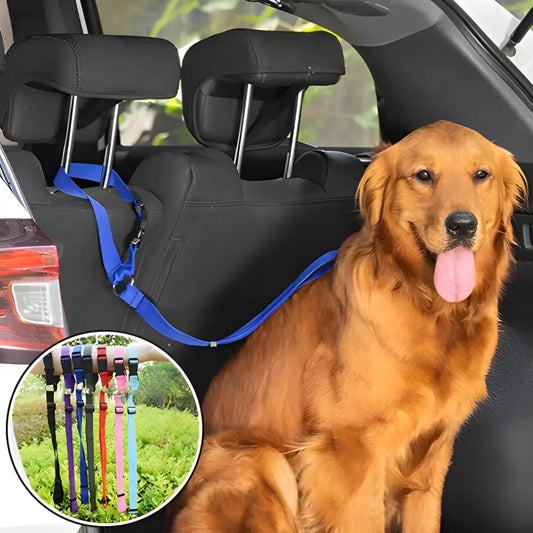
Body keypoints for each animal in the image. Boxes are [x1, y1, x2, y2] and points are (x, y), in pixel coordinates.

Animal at [168, 121, 524, 532]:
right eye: (423, 175)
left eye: (481, 175)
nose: (463, 225)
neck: (430, 307)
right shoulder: (350, 453)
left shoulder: (431, 458)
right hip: (264, 459)